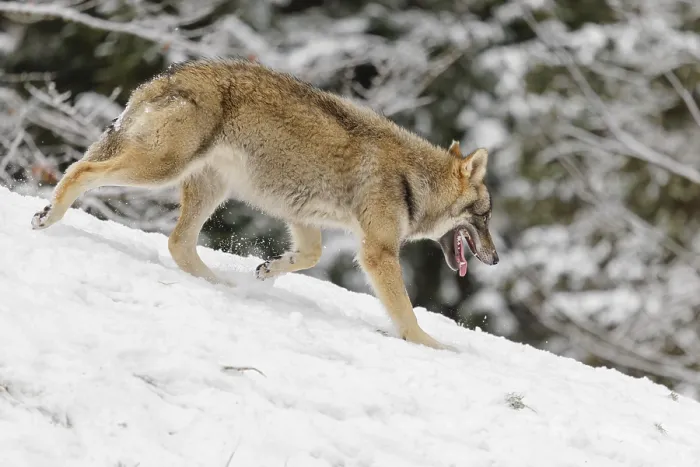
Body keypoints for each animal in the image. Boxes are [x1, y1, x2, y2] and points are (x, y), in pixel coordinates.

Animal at [30, 59, 499, 349]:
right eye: (486, 217)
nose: (495, 259)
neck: (412, 180)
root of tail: (163, 77)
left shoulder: (302, 217)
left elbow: (308, 257)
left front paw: (266, 271)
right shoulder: (377, 252)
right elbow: (406, 313)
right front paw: (432, 346)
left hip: (205, 188)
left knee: (178, 244)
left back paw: (222, 284)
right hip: (160, 170)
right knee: (81, 170)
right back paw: (48, 217)